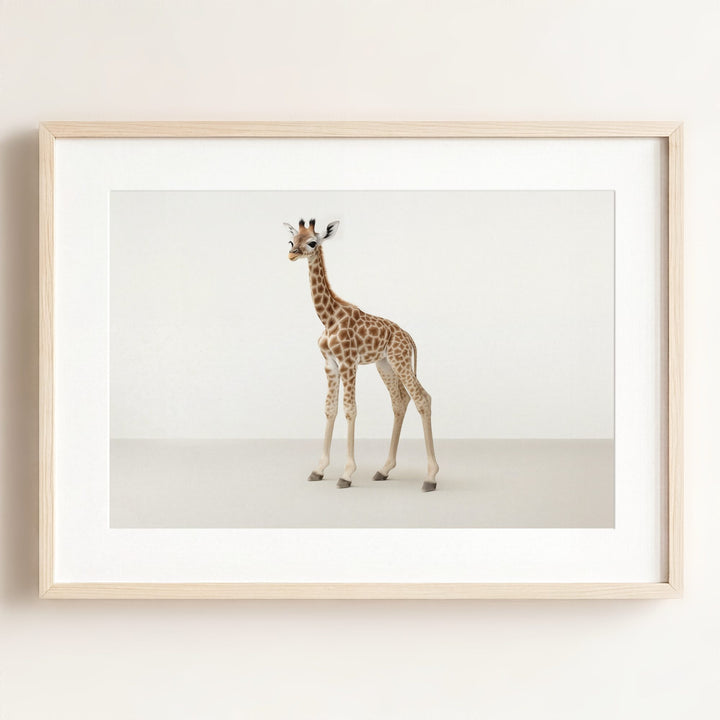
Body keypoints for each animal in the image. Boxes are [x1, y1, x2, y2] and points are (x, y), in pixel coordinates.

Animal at [285, 217, 439, 492]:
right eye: (291, 241)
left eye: (312, 242)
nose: (292, 254)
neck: (328, 318)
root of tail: (409, 337)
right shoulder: (330, 363)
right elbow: (330, 408)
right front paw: (319, 469)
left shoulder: (349, 362)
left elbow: (350, 409)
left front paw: (346, 474)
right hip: (385, 364)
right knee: (400, 401)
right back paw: (384, 469)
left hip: (400, 360)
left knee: (422, 398)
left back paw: (430, 478)